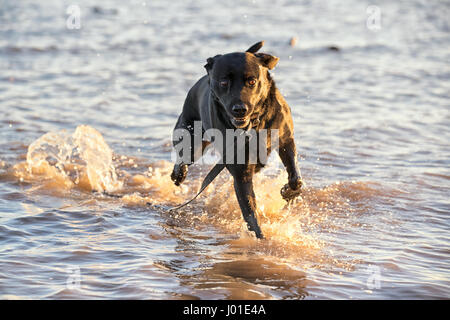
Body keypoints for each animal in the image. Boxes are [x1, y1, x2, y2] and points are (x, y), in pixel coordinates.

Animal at [171, 41, 302, 239]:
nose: (239, 109)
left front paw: (288, 192)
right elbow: (250, 213)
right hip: (192, 138)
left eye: (252, 81)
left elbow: (295, 177)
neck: (254, 123)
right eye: (224, 82)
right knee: (183, 156)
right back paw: (178, 174)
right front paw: (262, 240)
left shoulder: (286, 139)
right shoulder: (241, 174)